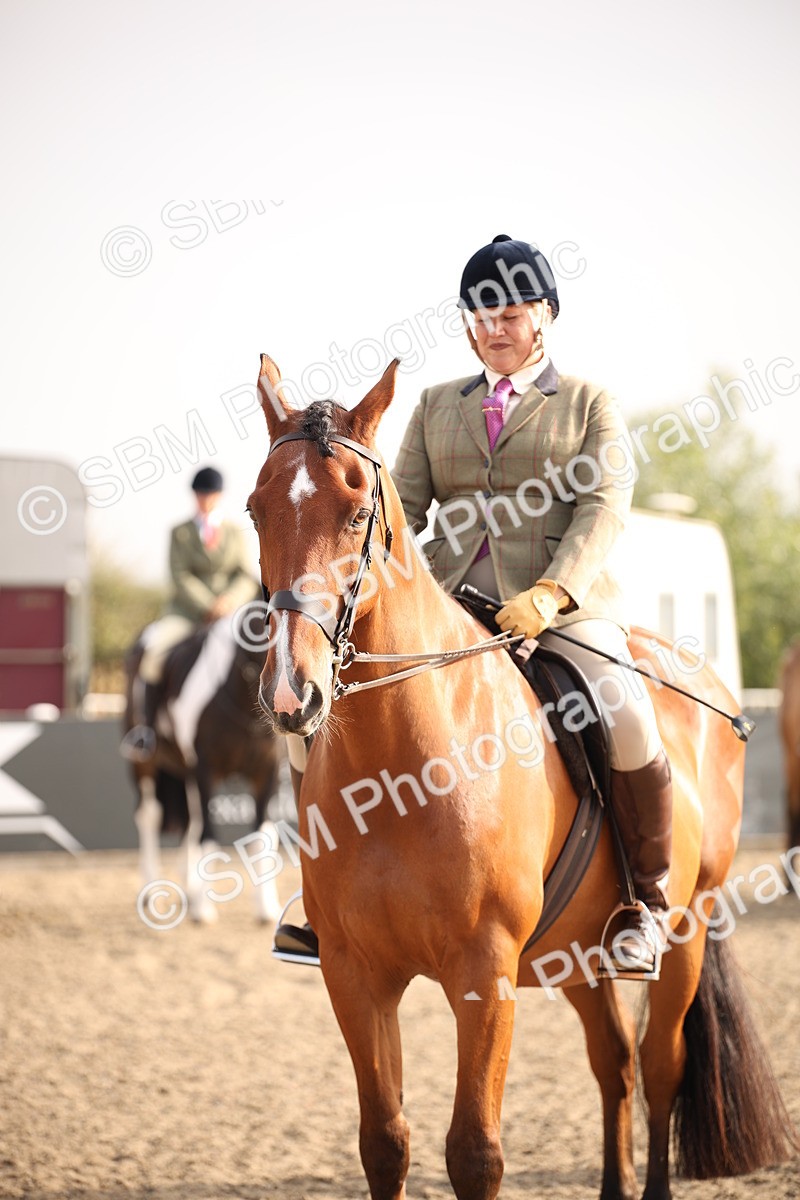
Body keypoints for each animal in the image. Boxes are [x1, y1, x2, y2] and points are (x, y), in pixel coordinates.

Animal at [123, 614, 284, 924]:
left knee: (191, 820)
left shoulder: (266, 773)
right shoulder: (205, 770)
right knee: (150, 817)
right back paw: (152, 889)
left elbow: (263, 837)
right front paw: (203, 908)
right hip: (144, 764)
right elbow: (208, 835)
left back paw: (190, 887)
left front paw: (267, 908)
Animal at [248, 353, 795, 1200]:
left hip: (687, 926)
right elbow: (385, 1143)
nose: (289, 693)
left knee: (661, 1067)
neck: (398, 768)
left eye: (355, 512)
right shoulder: (354, 973)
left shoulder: (485, 971)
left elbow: (475, 1150)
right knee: (615, 1065)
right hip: (577, 956)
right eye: (254, 511)